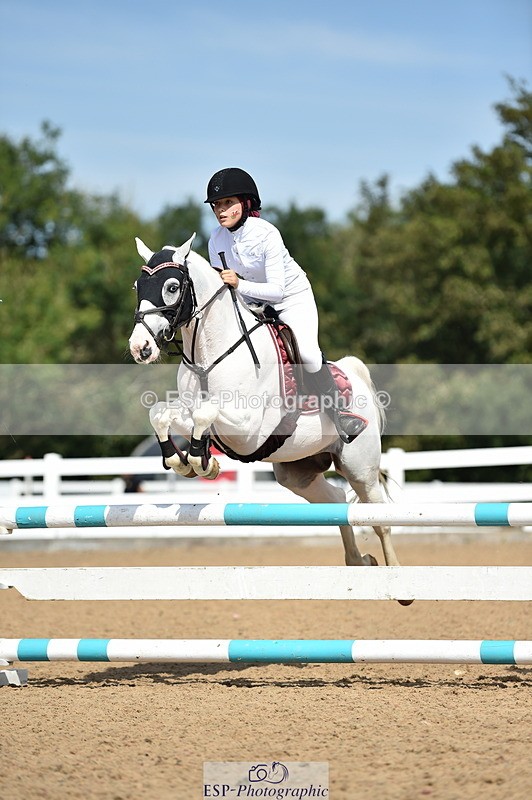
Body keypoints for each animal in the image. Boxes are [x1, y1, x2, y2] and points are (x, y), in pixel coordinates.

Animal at [128, 233, 404, 572]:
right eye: (137, 287)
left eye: (171, 287)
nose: (140, 347)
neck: (210, 354)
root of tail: (354, 374)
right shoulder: (195, 411)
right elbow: (162, 413)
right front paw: (187, 461)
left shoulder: (248, 430)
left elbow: (205, 411)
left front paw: (198, 461)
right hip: (297, 472)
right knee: (336, 502)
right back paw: (358, 560)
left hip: (360, 467)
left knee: (380, 520)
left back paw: (396, 577)